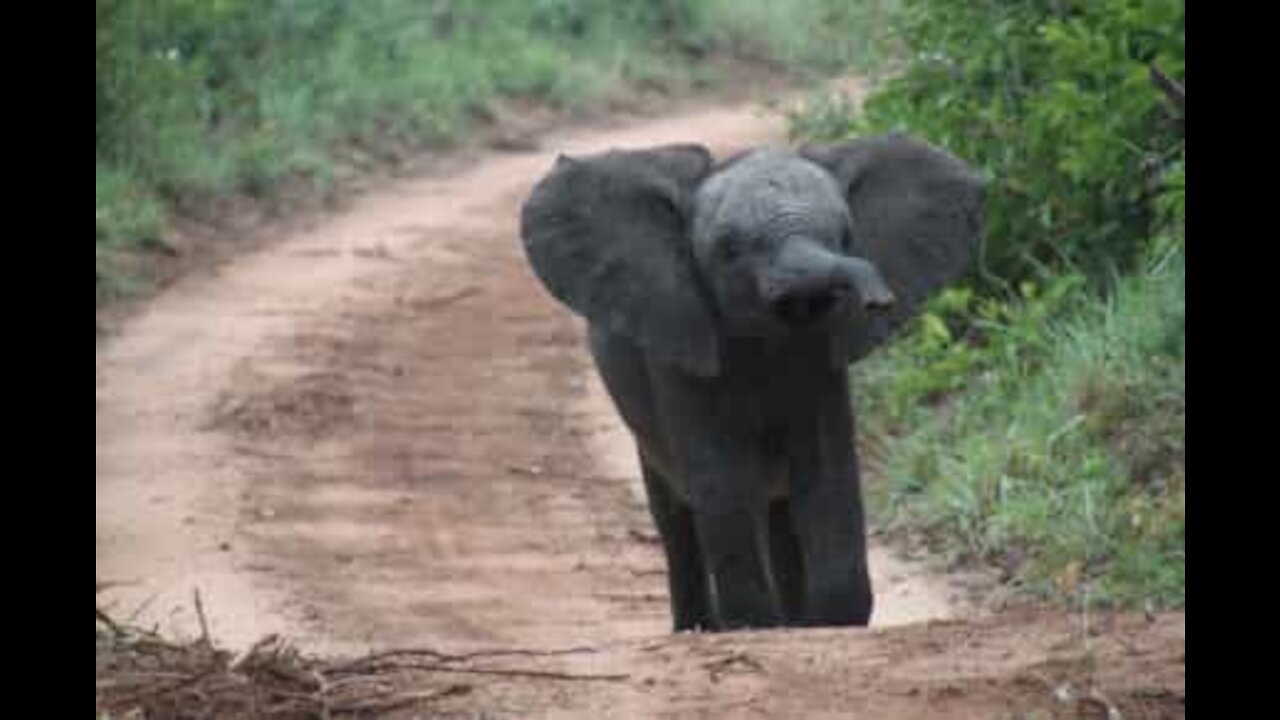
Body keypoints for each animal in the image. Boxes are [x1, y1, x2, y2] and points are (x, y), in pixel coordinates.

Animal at [514, 134, 983, 627]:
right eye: (729, 249)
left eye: (845, 235)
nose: (879, 299)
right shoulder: (680, 338)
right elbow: (721, 470)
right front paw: (753, 624)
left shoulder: (821, 355)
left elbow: (825, 463)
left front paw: (831, 621)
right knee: (676, 512)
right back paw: (703, 628)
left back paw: (792, 623)